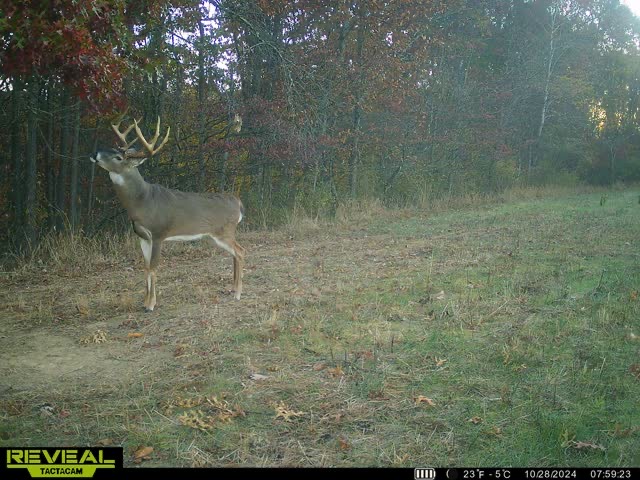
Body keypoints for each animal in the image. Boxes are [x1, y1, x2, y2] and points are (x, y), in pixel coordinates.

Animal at [90, 116, 246, 311]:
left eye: (118, 157)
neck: (142, 202)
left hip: (224, 231)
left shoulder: (158, 233)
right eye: (111, 148)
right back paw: (232, 289)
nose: (94, 153)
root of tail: (238, 203)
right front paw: (144, 301)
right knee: (235, 253)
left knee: (240, 251)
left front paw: (150, 305)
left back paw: (238, 293)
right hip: (221, 234)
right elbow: (145, 267)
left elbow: (153, 268)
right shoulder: (142, 237)